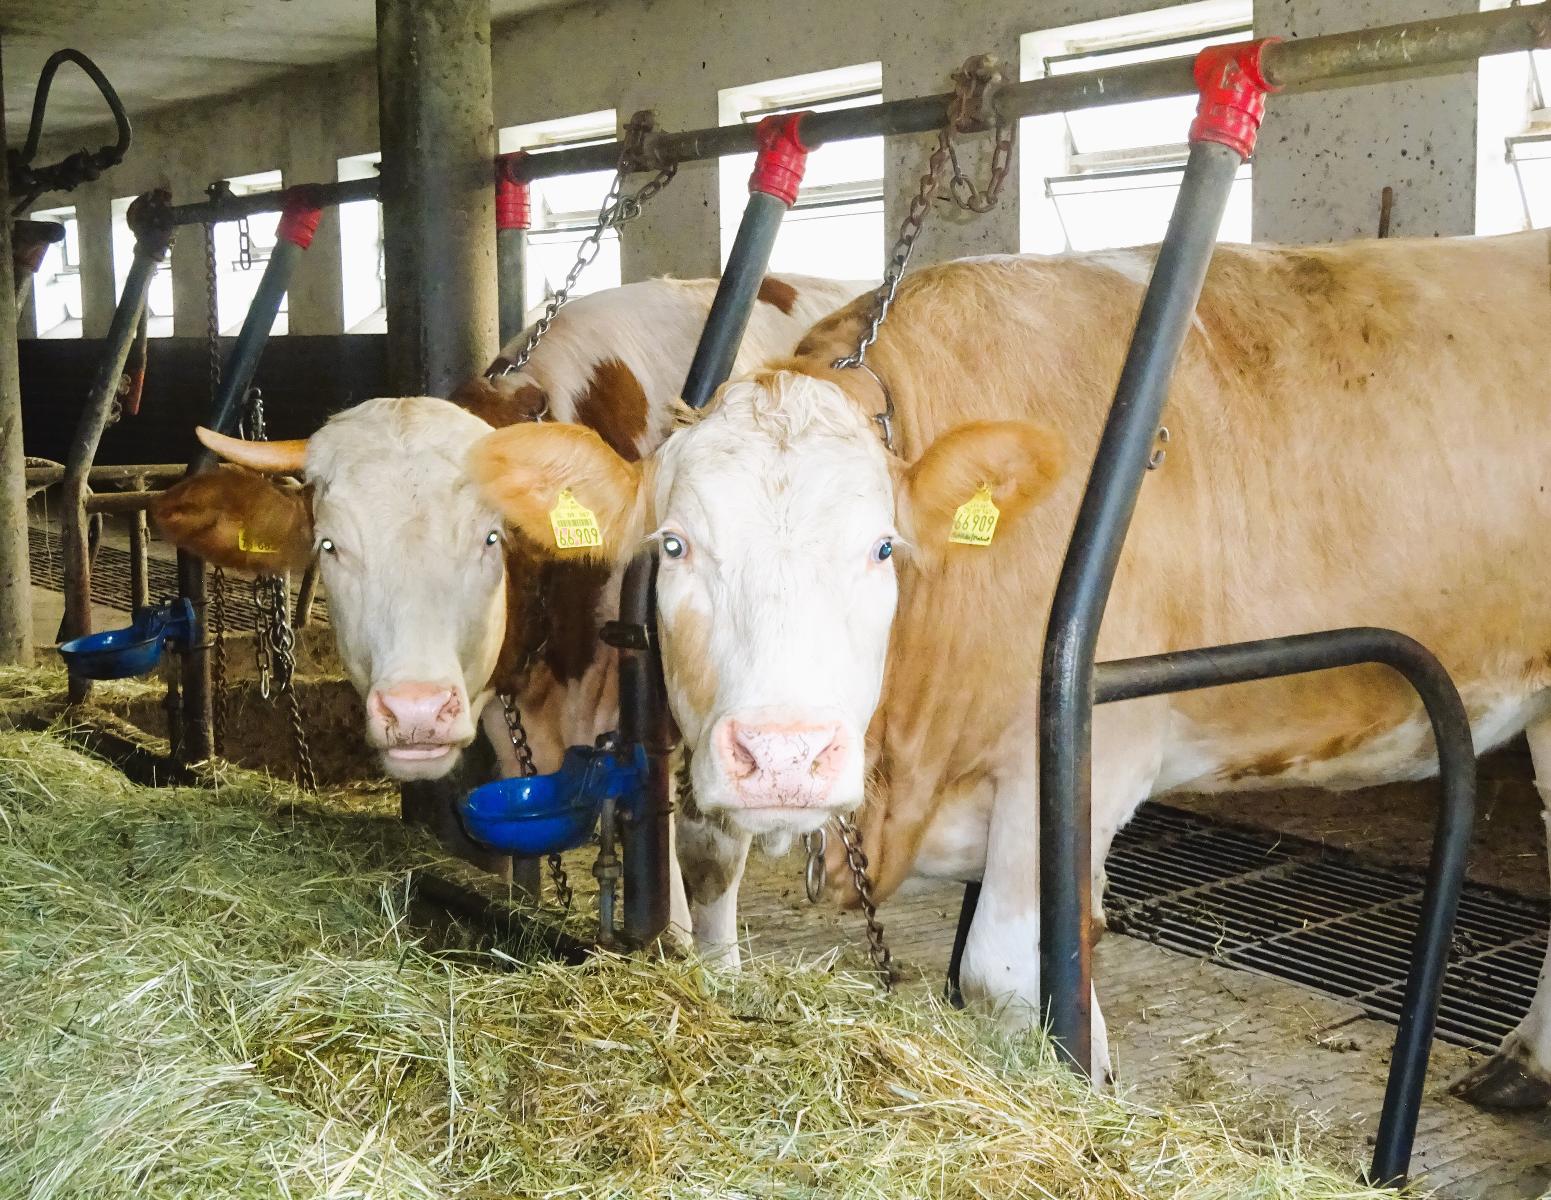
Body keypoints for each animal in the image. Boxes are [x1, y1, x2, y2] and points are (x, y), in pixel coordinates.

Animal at [468, 227, 1551, 1110]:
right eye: (675, 545)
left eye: (882, 547)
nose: (783, 758)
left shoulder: (1081, 761)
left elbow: (1003, 975)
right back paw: (1521, 1067)